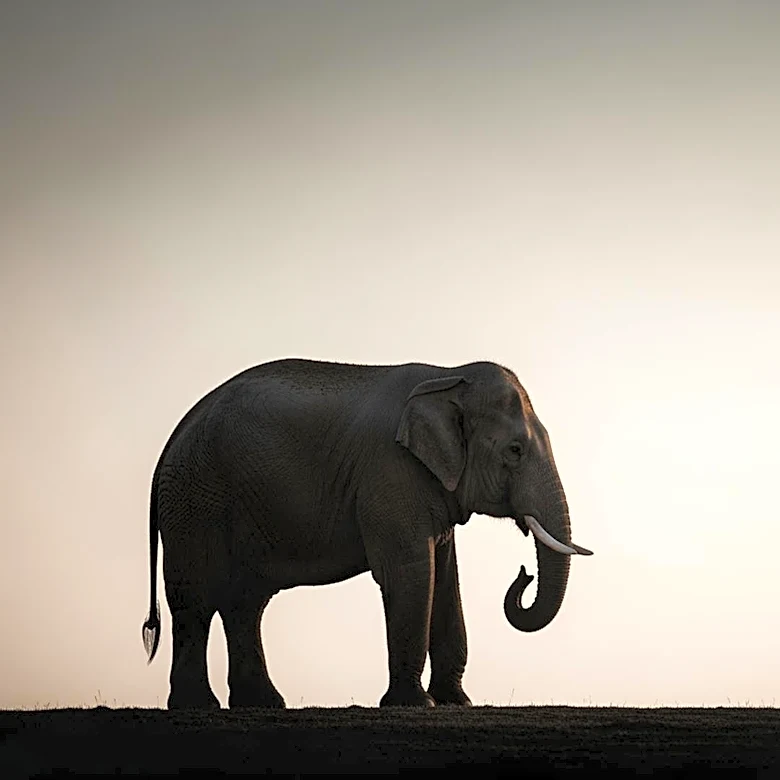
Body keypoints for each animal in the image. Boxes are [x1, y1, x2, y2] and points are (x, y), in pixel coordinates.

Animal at [142, 359, 592, 709]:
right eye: (515, 451)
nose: (523, 574)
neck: (449, 376)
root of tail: (173, 437)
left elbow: (446, 577)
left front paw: (456, 702)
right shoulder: (391, 472)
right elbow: (411, 573)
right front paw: (415, 704)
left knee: (244, 603)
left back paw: (261, 703)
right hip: (195, 500)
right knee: (195, 600)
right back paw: (197, 705)